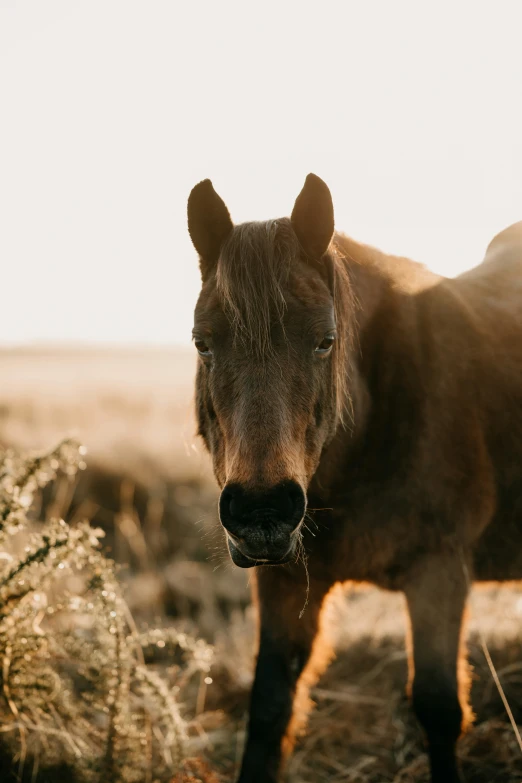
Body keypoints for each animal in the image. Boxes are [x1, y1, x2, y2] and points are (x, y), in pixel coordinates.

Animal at [186, 178, 520, 783]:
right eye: (203, 342)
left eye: (325, 341)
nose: (263, 515)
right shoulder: (283, 582)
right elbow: (269, 706)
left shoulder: (439, 573)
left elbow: (439, 708)